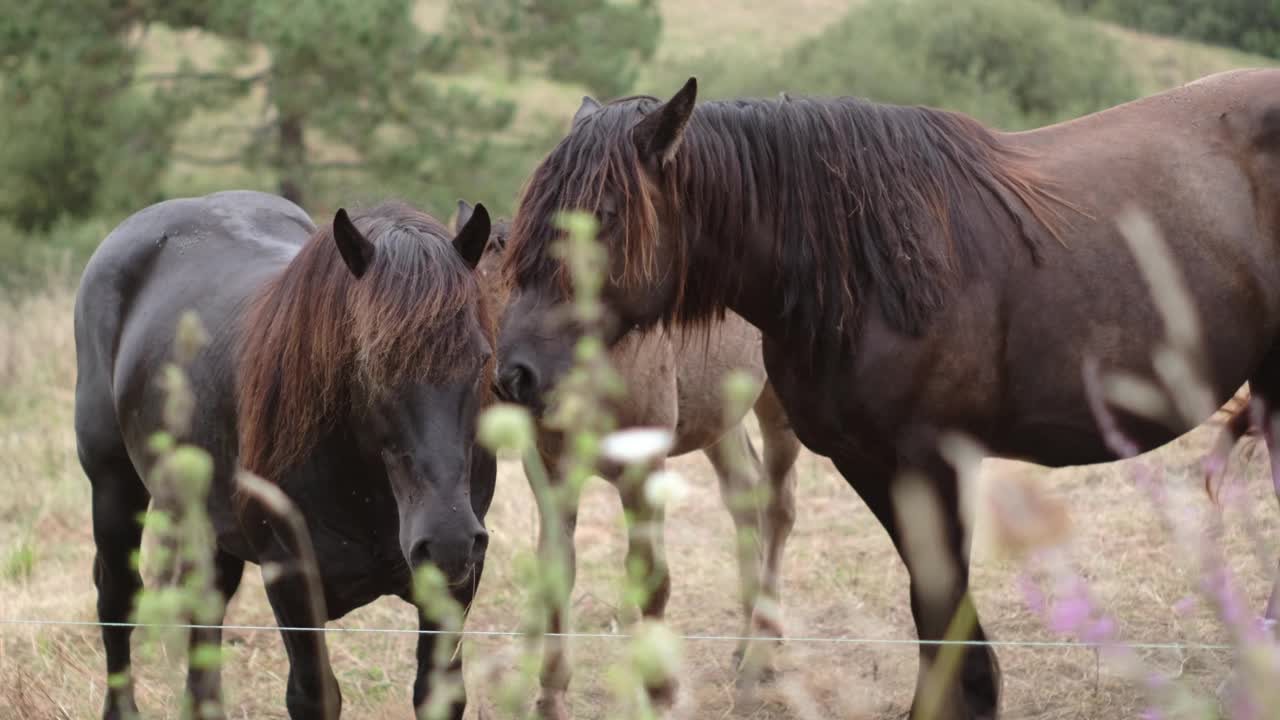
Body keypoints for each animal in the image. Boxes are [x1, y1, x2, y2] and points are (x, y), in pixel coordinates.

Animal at [73, 190, 494, 717]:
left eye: (480, 359)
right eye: (369, 363)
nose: (447, 540)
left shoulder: (457, 588)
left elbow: (439, 692)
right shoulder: (292, 585)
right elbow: (314, 695)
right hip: (113, 487)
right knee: (117, 599)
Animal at [458, 202, 798, 717]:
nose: (510, 381)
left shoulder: (643, 469)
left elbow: (652, 576)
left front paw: (661, 691)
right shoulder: (552, 471)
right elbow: (557, 569)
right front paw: (550, 695)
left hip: (777, 404)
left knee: (778, 504)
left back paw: (762, 647)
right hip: (719, 416)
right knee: (744, 493)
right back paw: (745, 639)